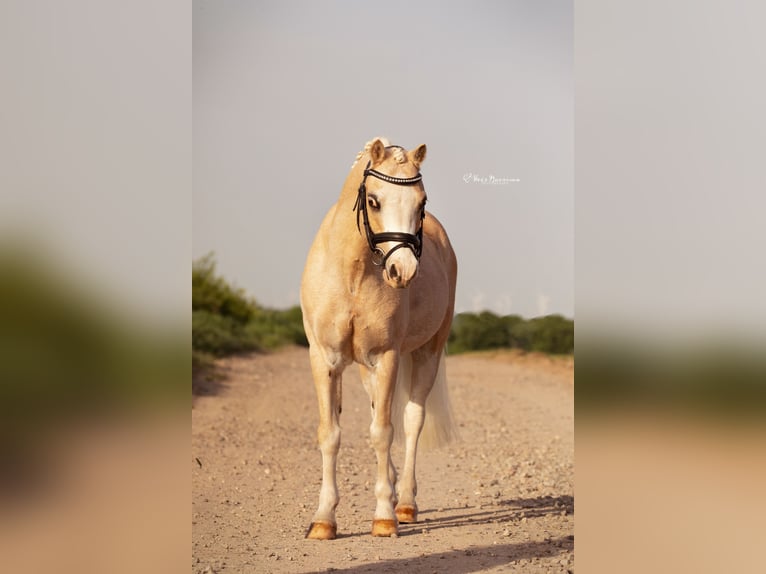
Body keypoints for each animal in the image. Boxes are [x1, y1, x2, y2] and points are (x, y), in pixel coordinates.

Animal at [300, 137, 458, 539]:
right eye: (373, 201)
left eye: (421, 202)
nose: (403, 271)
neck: (353, 274)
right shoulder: (325, 359)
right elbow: (331, 433)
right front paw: (323, 520)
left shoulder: (387, 357)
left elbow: (384, 432)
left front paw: (384, 516)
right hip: (364, 370)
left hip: (426, 354)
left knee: (411, 420)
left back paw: (405, 503)